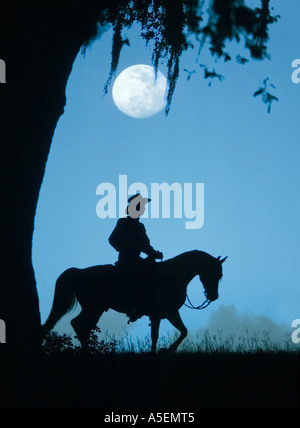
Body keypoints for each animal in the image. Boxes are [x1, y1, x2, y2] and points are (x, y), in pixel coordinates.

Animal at [41, 249, 225, 352]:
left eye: (220, 275)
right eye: (214, 273)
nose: (213, 296)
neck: (172, 275)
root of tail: (78, 271)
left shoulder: (167, 313)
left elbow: (178, 332)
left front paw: (163, 350)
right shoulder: (164, 313)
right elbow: (161, 335)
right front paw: (164, 351)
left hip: (94, 309)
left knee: (81, 326)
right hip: (94, 308)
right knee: (79, 325)